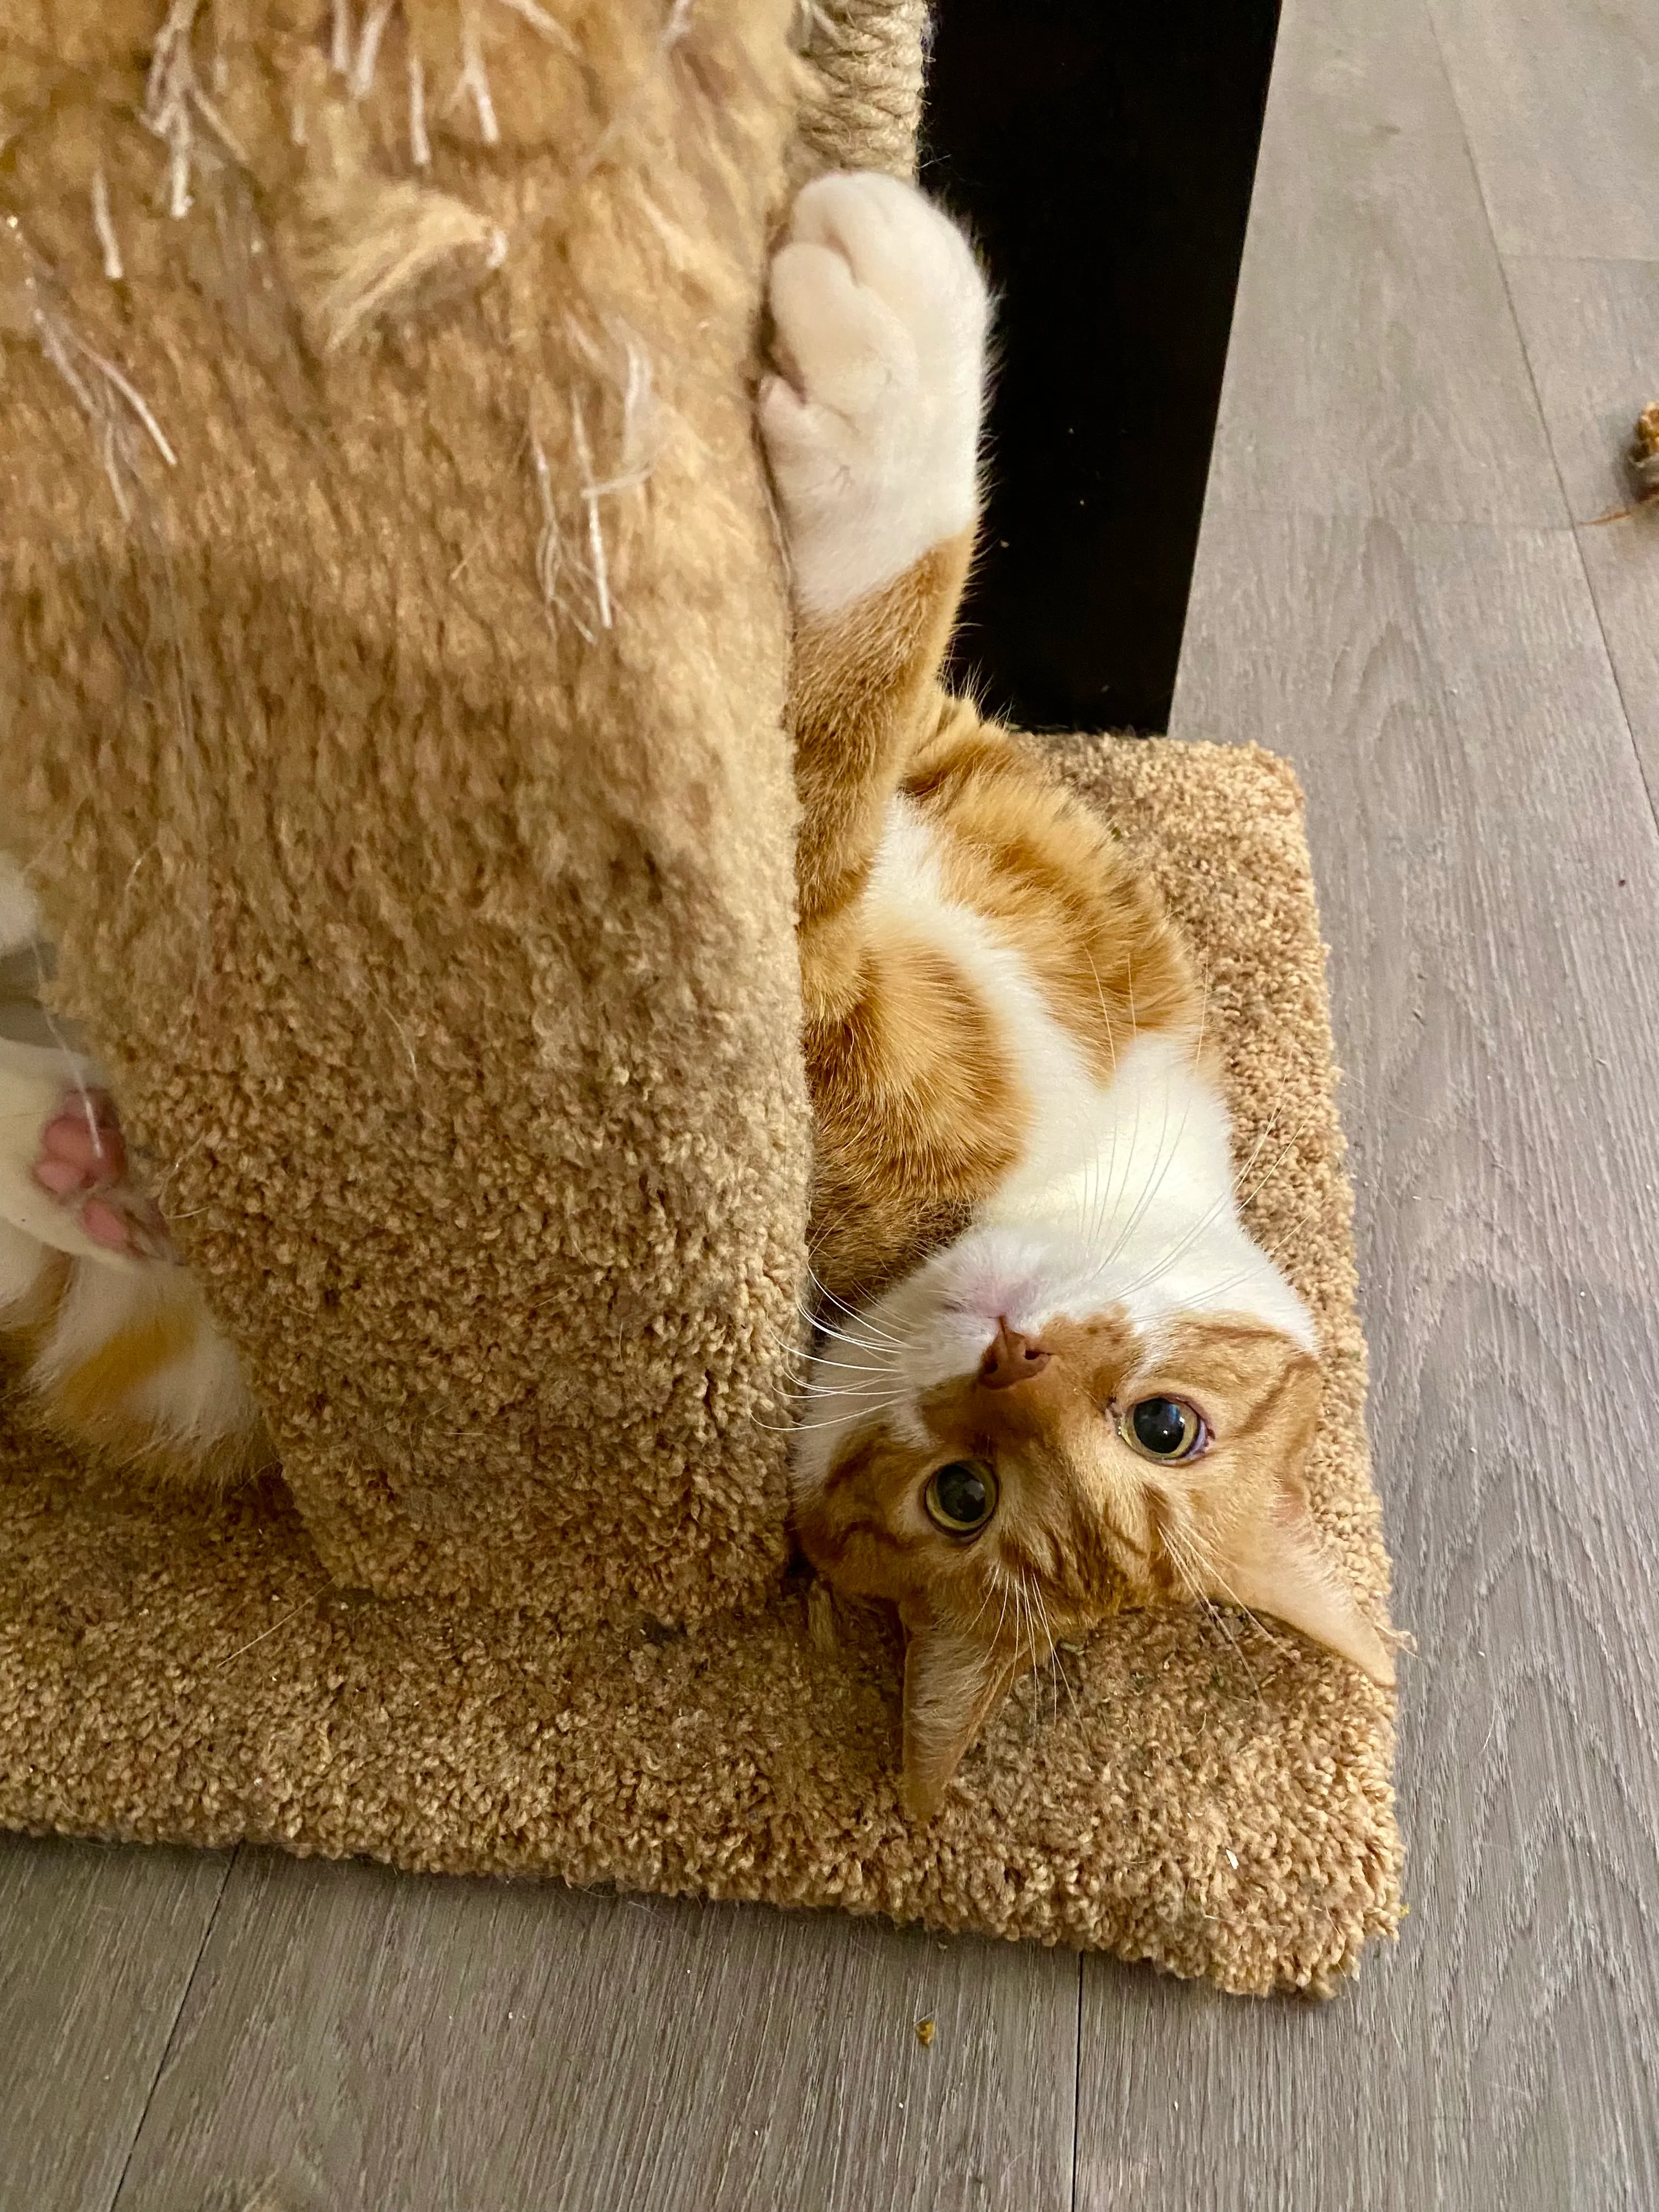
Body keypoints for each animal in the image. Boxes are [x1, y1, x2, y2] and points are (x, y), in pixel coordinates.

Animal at [765, 172, 1389, 1814]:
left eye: (960, 1498)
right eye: (1169, 1426)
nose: (1016, 1356)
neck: (1088, 1149)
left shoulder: (846, 1092)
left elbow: (825, 765)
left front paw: (889, 355)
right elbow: (900, 706)